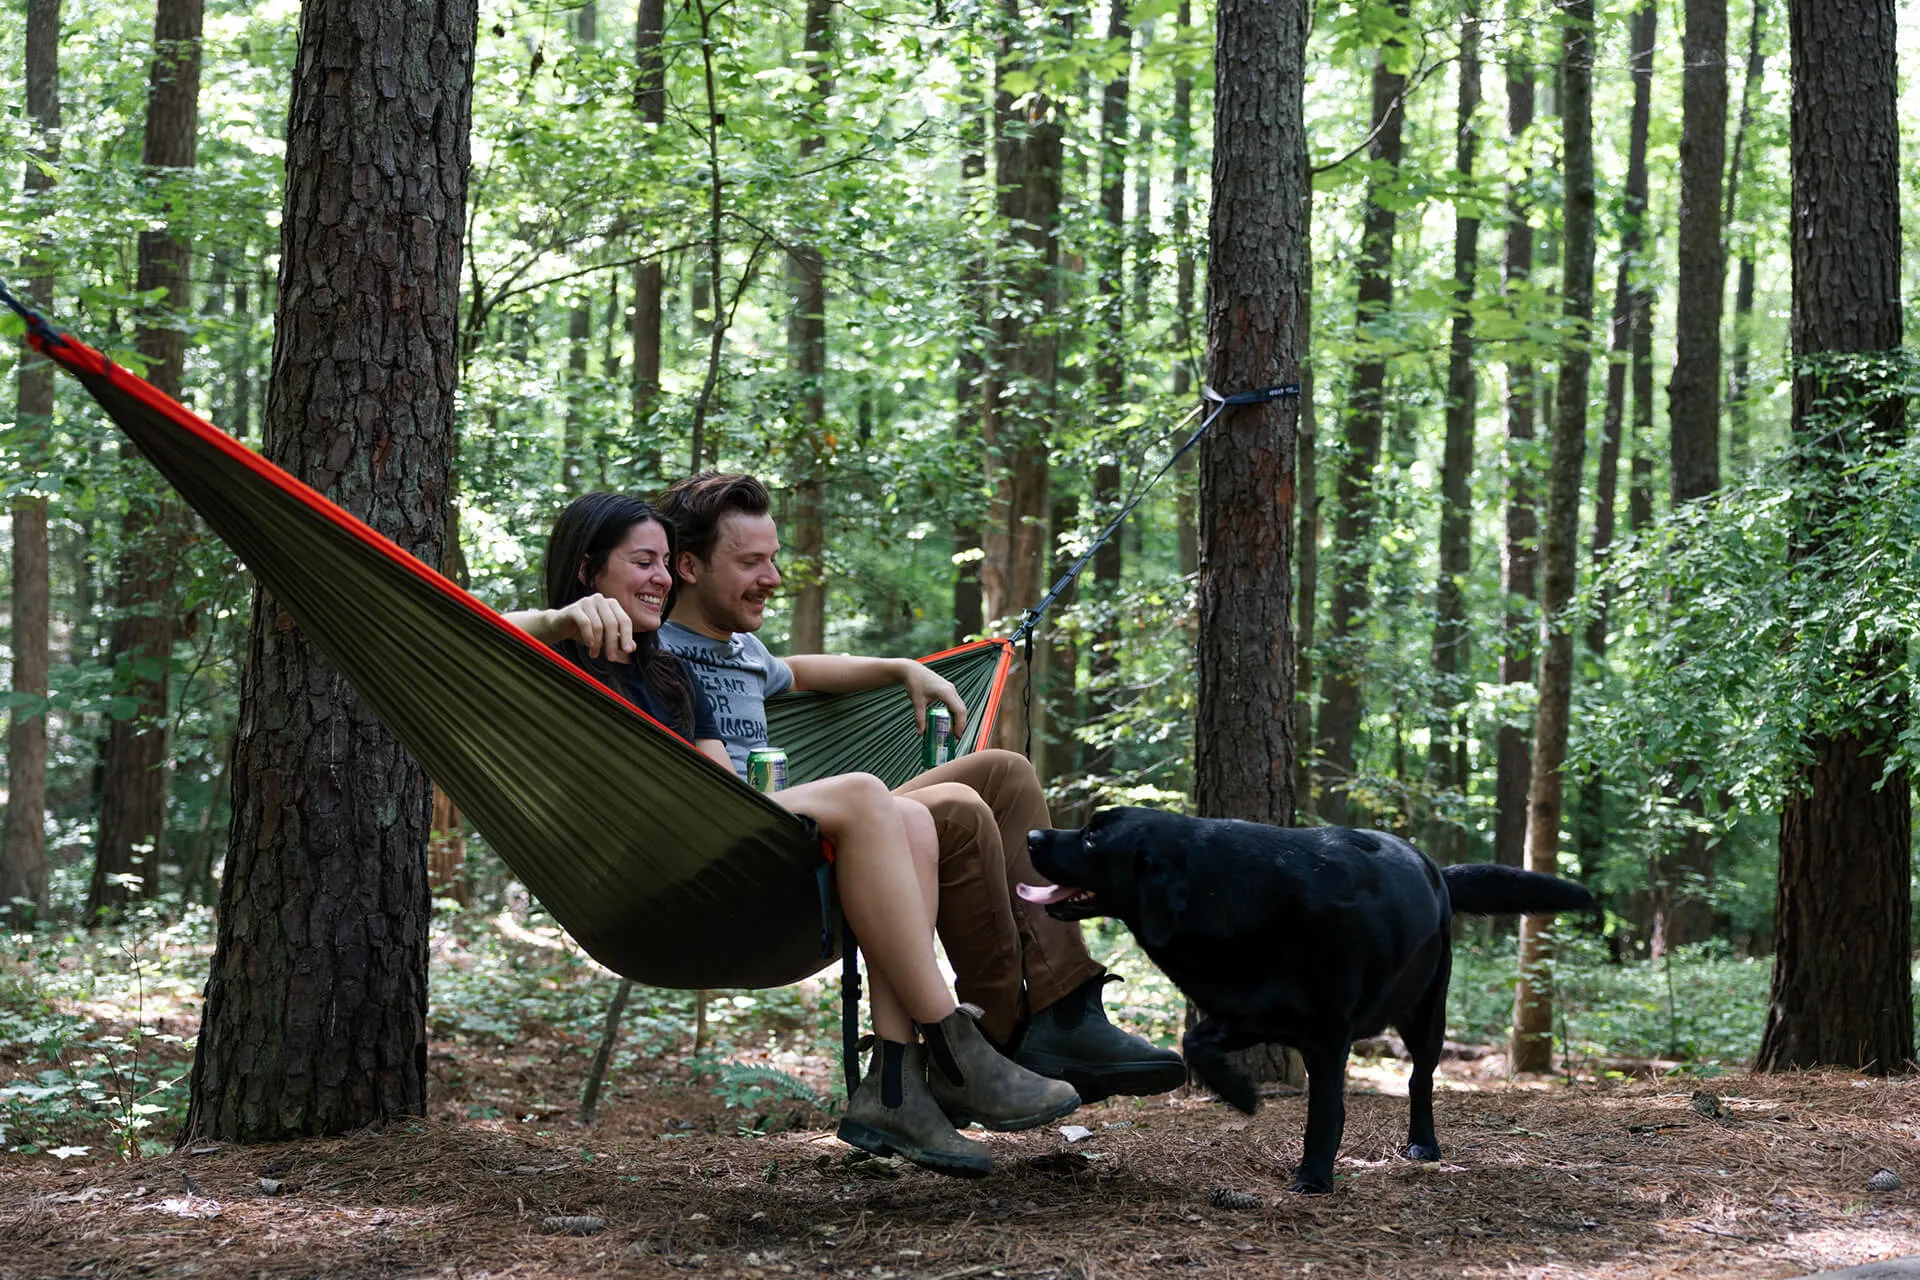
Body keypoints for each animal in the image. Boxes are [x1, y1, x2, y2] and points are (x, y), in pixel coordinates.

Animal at [1021, 805, 1589, 1197]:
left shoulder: (1329, 1033)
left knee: (1421, 1079)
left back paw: (1424, 1143)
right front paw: (1241, 1094)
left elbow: (1326, 1110)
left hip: (1426, 1011)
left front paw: (1314, 1176)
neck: (1229, 893)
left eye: (1092, 838)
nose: (1031, 835)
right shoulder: (1247, 1007)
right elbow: (1194, 1041)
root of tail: (1437, 871)